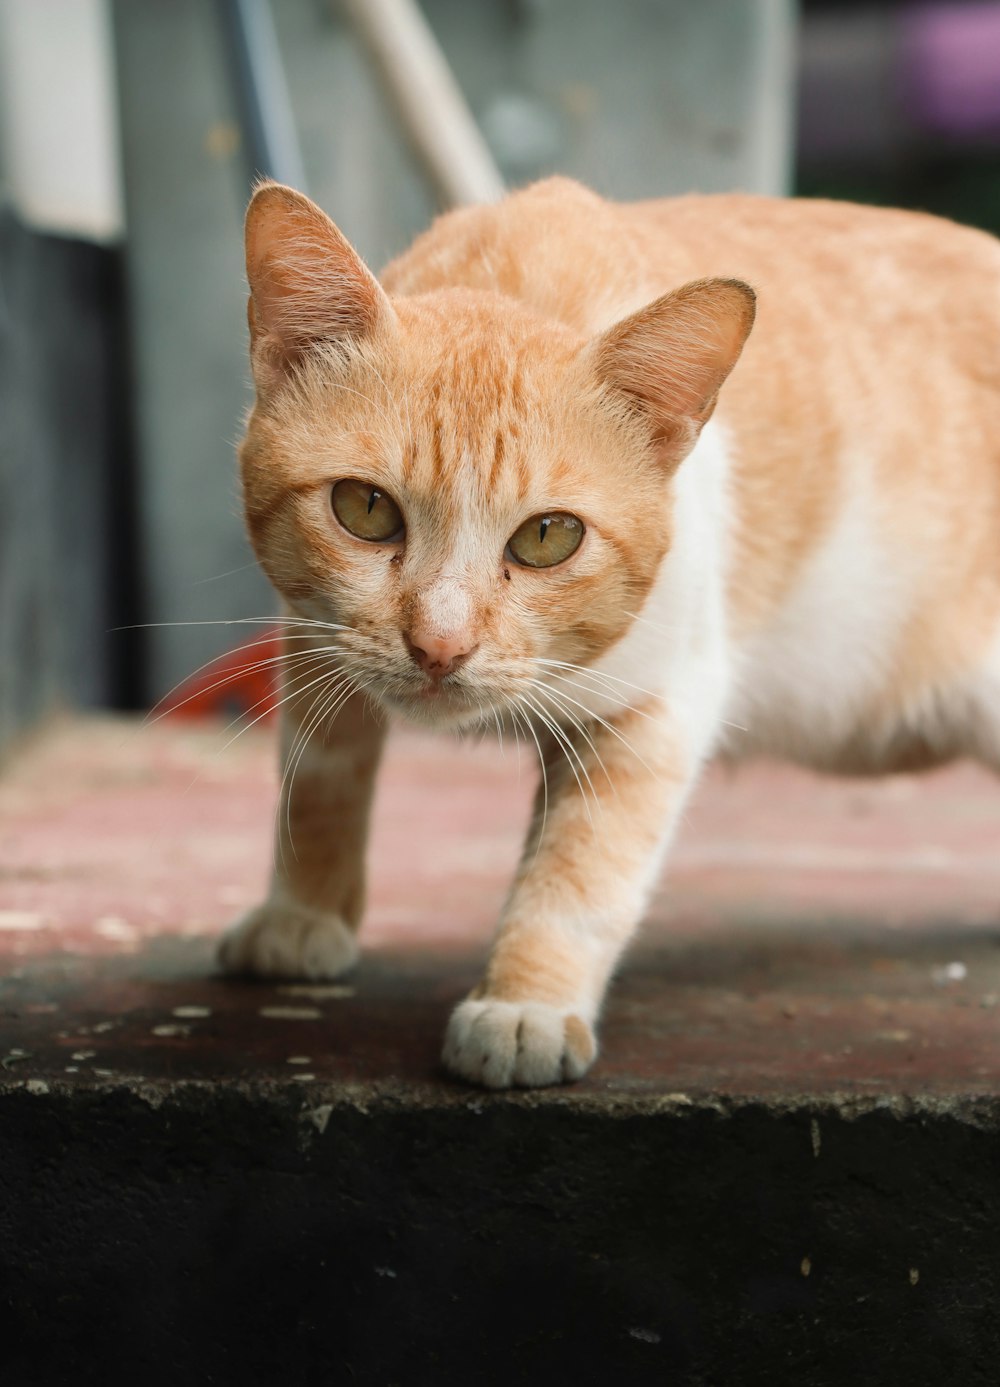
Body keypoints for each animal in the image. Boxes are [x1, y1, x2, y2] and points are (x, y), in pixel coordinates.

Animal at [219, 170, 998, 1081]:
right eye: (364, 508)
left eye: (548, 536)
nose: (441, 644)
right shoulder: (313, 630)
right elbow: (321, 780)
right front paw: (303, 913)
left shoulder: (657, 704)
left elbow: (579, 868)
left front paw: (525, 1004)